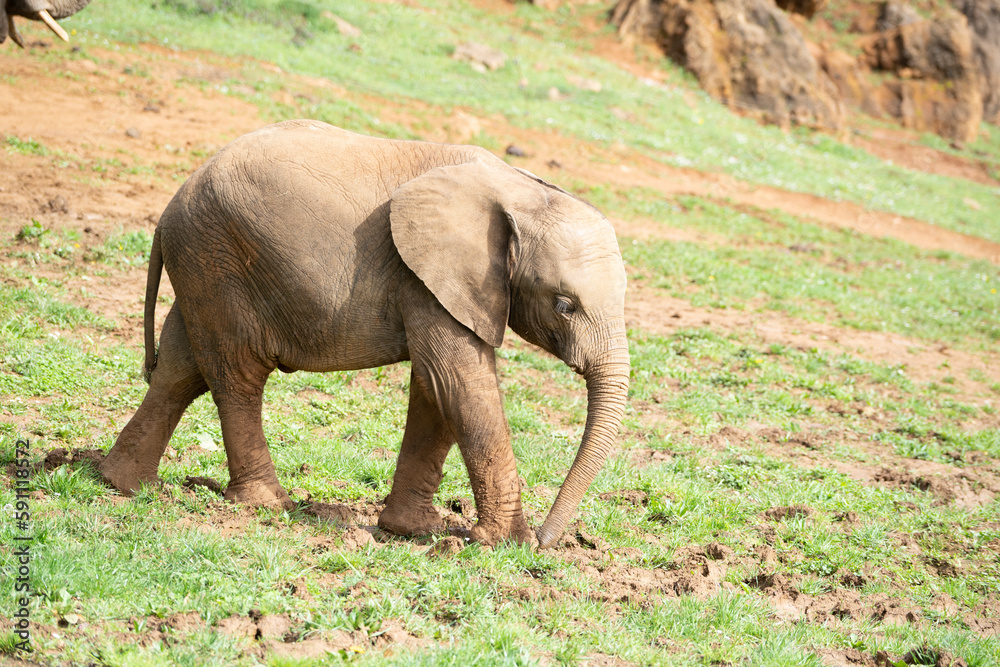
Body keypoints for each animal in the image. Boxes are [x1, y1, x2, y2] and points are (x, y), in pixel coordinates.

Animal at [98, 120, 630, 549]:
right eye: (564, 305)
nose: (547, 540)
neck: (520, 188)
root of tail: (171, 204)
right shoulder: (426, 275)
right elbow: (458, 381)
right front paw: (506, 544)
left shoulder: (438, 284)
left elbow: (435, 389)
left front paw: (414, 531)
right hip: (219, 259)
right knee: (239, 374)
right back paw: (267, 505)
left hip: (204, 264)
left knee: (180, 368)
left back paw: (123, 484)